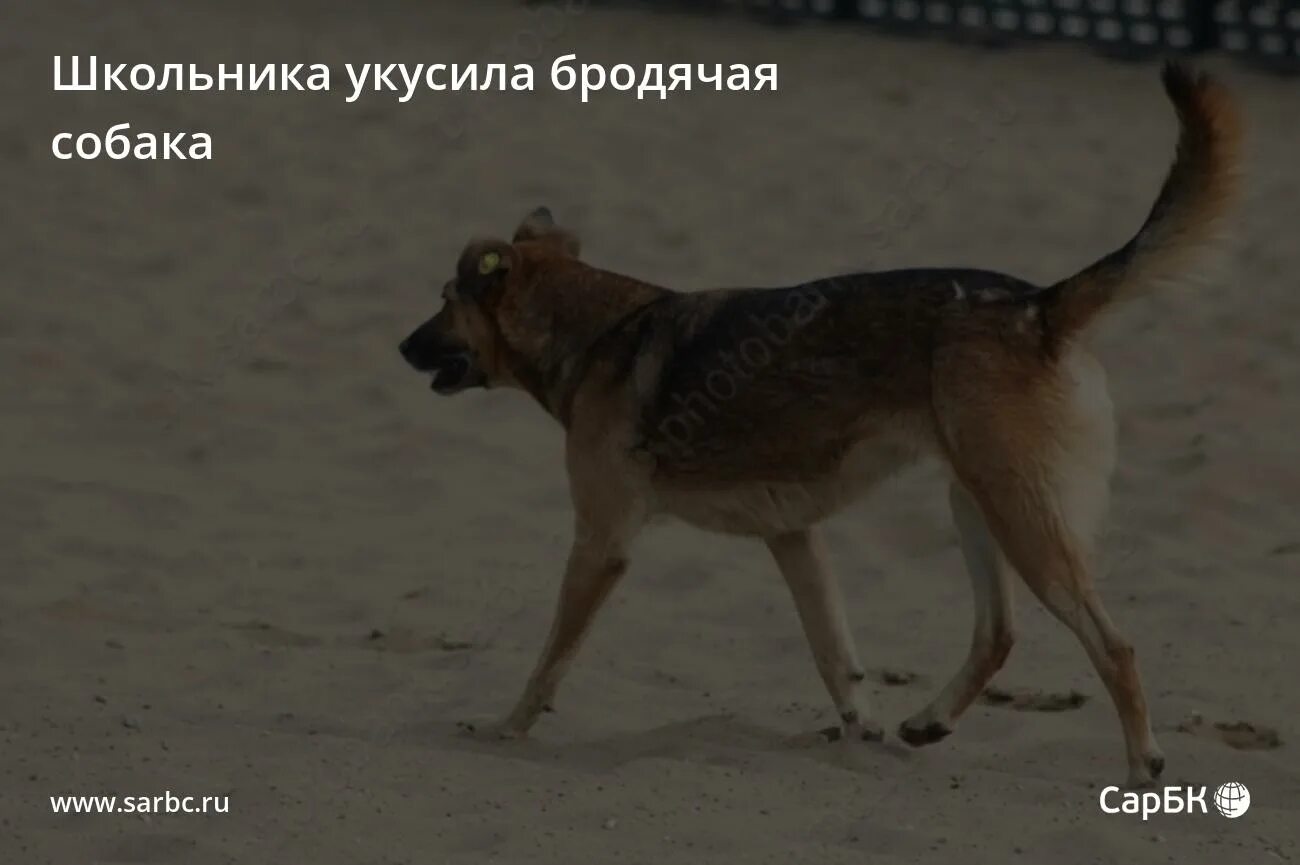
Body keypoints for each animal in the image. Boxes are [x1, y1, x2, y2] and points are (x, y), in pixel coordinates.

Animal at [397, 64, 1237, 785]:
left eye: (442, 298)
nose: (399, 346)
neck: (599, 331)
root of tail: (1039, 305)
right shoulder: (793, 537)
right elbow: (835, 654)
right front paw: (860, 731)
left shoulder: (602, 544)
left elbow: (549, 658)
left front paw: (505, 727)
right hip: (977, 501)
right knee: (997, 633)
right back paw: (928, 722)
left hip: (1021, 516)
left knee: (1114, 644)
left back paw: (1142, 763)